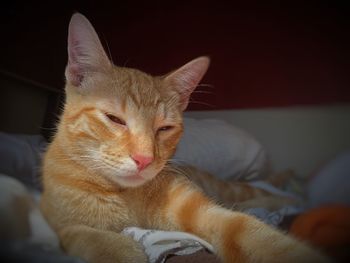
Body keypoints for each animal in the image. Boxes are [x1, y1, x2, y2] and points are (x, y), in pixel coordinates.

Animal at [39, 12, 330, 263]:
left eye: (164, 128)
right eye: (114, 119)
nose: (144, 160)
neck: (122, 195)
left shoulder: (199, 209)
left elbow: (247, 230)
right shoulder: (53, 216)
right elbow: (76, 233)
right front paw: (117, 248)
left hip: (229, 189)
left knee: (256, 196)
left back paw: (293, 200)